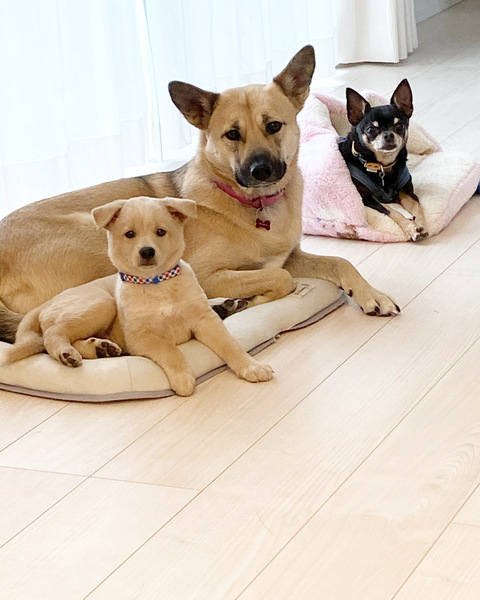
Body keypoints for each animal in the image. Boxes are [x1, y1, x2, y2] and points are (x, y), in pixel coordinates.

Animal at [0, 45, 399, 345]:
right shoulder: (206, 273)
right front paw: (249, 299)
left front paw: (371, 294)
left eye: (274, 125)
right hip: (98, 234)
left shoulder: (289, 257)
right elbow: (280, 280)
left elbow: (340, 262)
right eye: (232, 134)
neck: (254, 204)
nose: (261, 171)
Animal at [0, 197, 274, 396]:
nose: (147, 251)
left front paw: (252, 368)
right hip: (101, 303)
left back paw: (100, 348)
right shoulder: (143, 337)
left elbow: (231, 345)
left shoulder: (206, 322)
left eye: (161, 232)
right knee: (52, 335)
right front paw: (183, 378)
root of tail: (45, 304)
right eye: (129, 234)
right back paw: (68, 354)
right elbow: (170, 351)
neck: (157, 285)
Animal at [338, 79, 427, 242]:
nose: (388, 135)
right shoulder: (368, 198)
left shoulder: (406, 192)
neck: (382, 166)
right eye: (371, 130)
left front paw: (421, 225)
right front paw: (411, 228)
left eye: (400, 126)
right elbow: (394, 212)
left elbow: (417, 207)